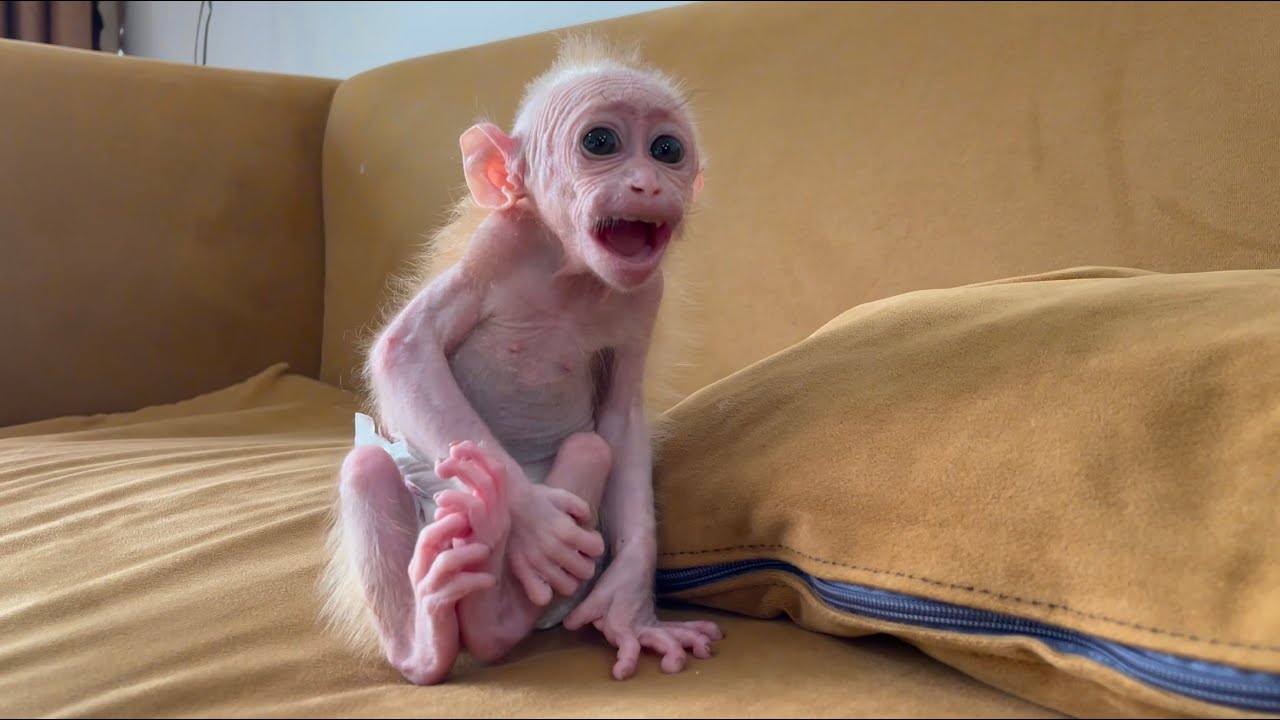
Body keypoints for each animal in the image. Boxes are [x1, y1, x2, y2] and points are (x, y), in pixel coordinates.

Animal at [318, 34, 723, 686]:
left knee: (592, 448)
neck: (569, 270)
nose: (648, 184)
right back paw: (425, 637)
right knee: (366, 469)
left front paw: (630, 613)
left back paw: (492, 605)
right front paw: (529, 515)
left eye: (667, 150)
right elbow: (406, 350)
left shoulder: (647, 294)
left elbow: (622, 423)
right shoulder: (498, 246)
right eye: (600, 143)